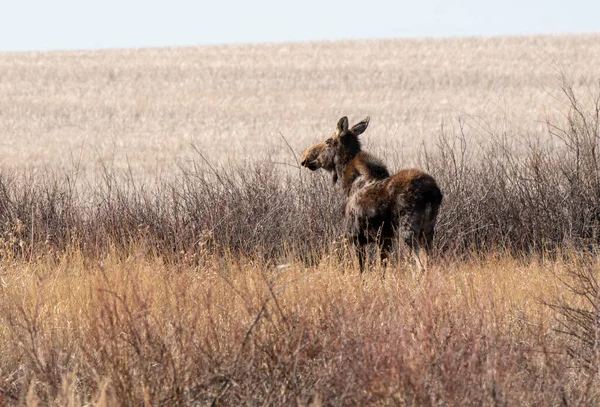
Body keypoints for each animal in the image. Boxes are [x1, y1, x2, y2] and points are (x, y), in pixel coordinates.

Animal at [302, 116, 442, 272]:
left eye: (327, 141)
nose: (306, 158)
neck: (347, 183)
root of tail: (432, 193)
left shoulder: (355, 236)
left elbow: (361, 269)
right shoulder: (384, 239)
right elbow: (382, 268)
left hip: (408, 231)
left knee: (422, 266)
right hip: (428, 231)